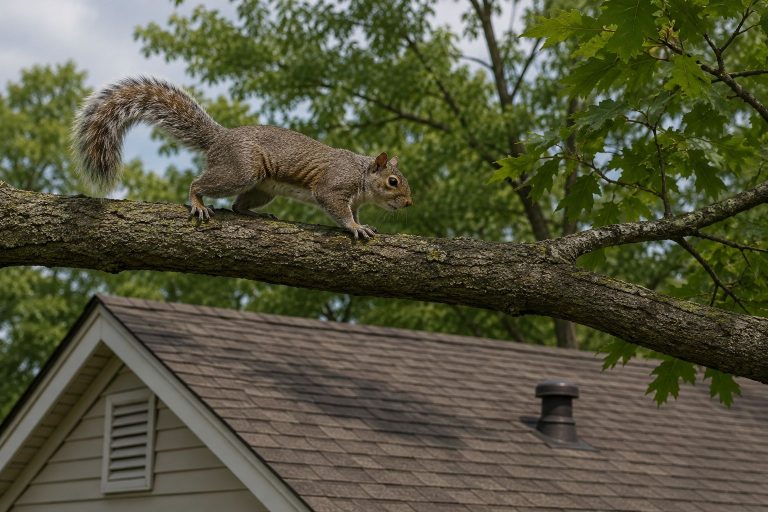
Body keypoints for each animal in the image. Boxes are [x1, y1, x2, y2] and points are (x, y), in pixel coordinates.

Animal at [72, 76, 412, 239]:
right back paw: (198, 203)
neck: (361, 174)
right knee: (199, 184)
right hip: (240, 171)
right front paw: (355, 227)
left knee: (238, 206)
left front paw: (360, 222)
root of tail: (219, 139)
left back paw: (256, 215)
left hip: (261, 189)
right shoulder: (334, 186)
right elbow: (336, 208)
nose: (409, 203)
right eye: (393, 182)